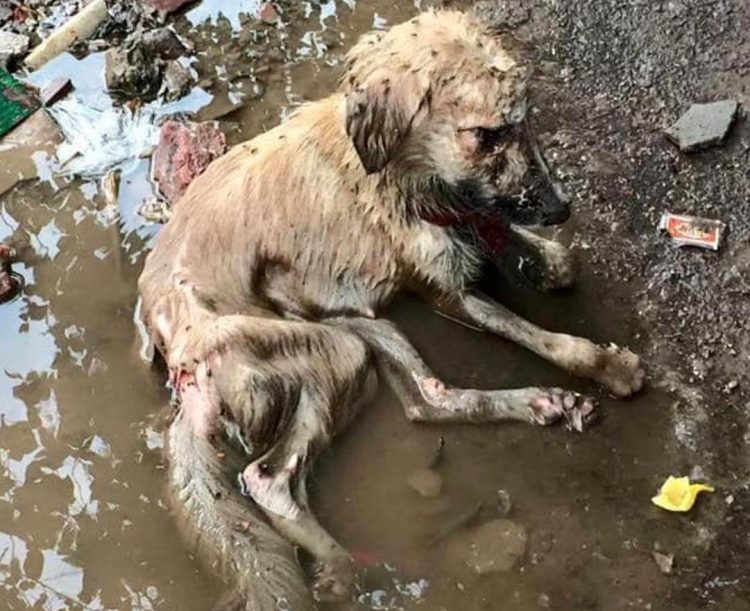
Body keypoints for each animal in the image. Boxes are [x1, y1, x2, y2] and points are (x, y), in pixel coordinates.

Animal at [140, 10, 648, 611]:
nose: (561, 209)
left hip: (366, 329)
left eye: (526, 120)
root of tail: (181, 368)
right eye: (486, 135)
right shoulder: (448, 291)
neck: (403, 173)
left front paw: (546, 259)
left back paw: (542, 403)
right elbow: (540, 336)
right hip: (336, 348)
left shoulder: (469, 229)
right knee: (270, 479)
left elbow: (535, 251)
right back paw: (339, 565)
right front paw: (606, 365)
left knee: (429, 399)